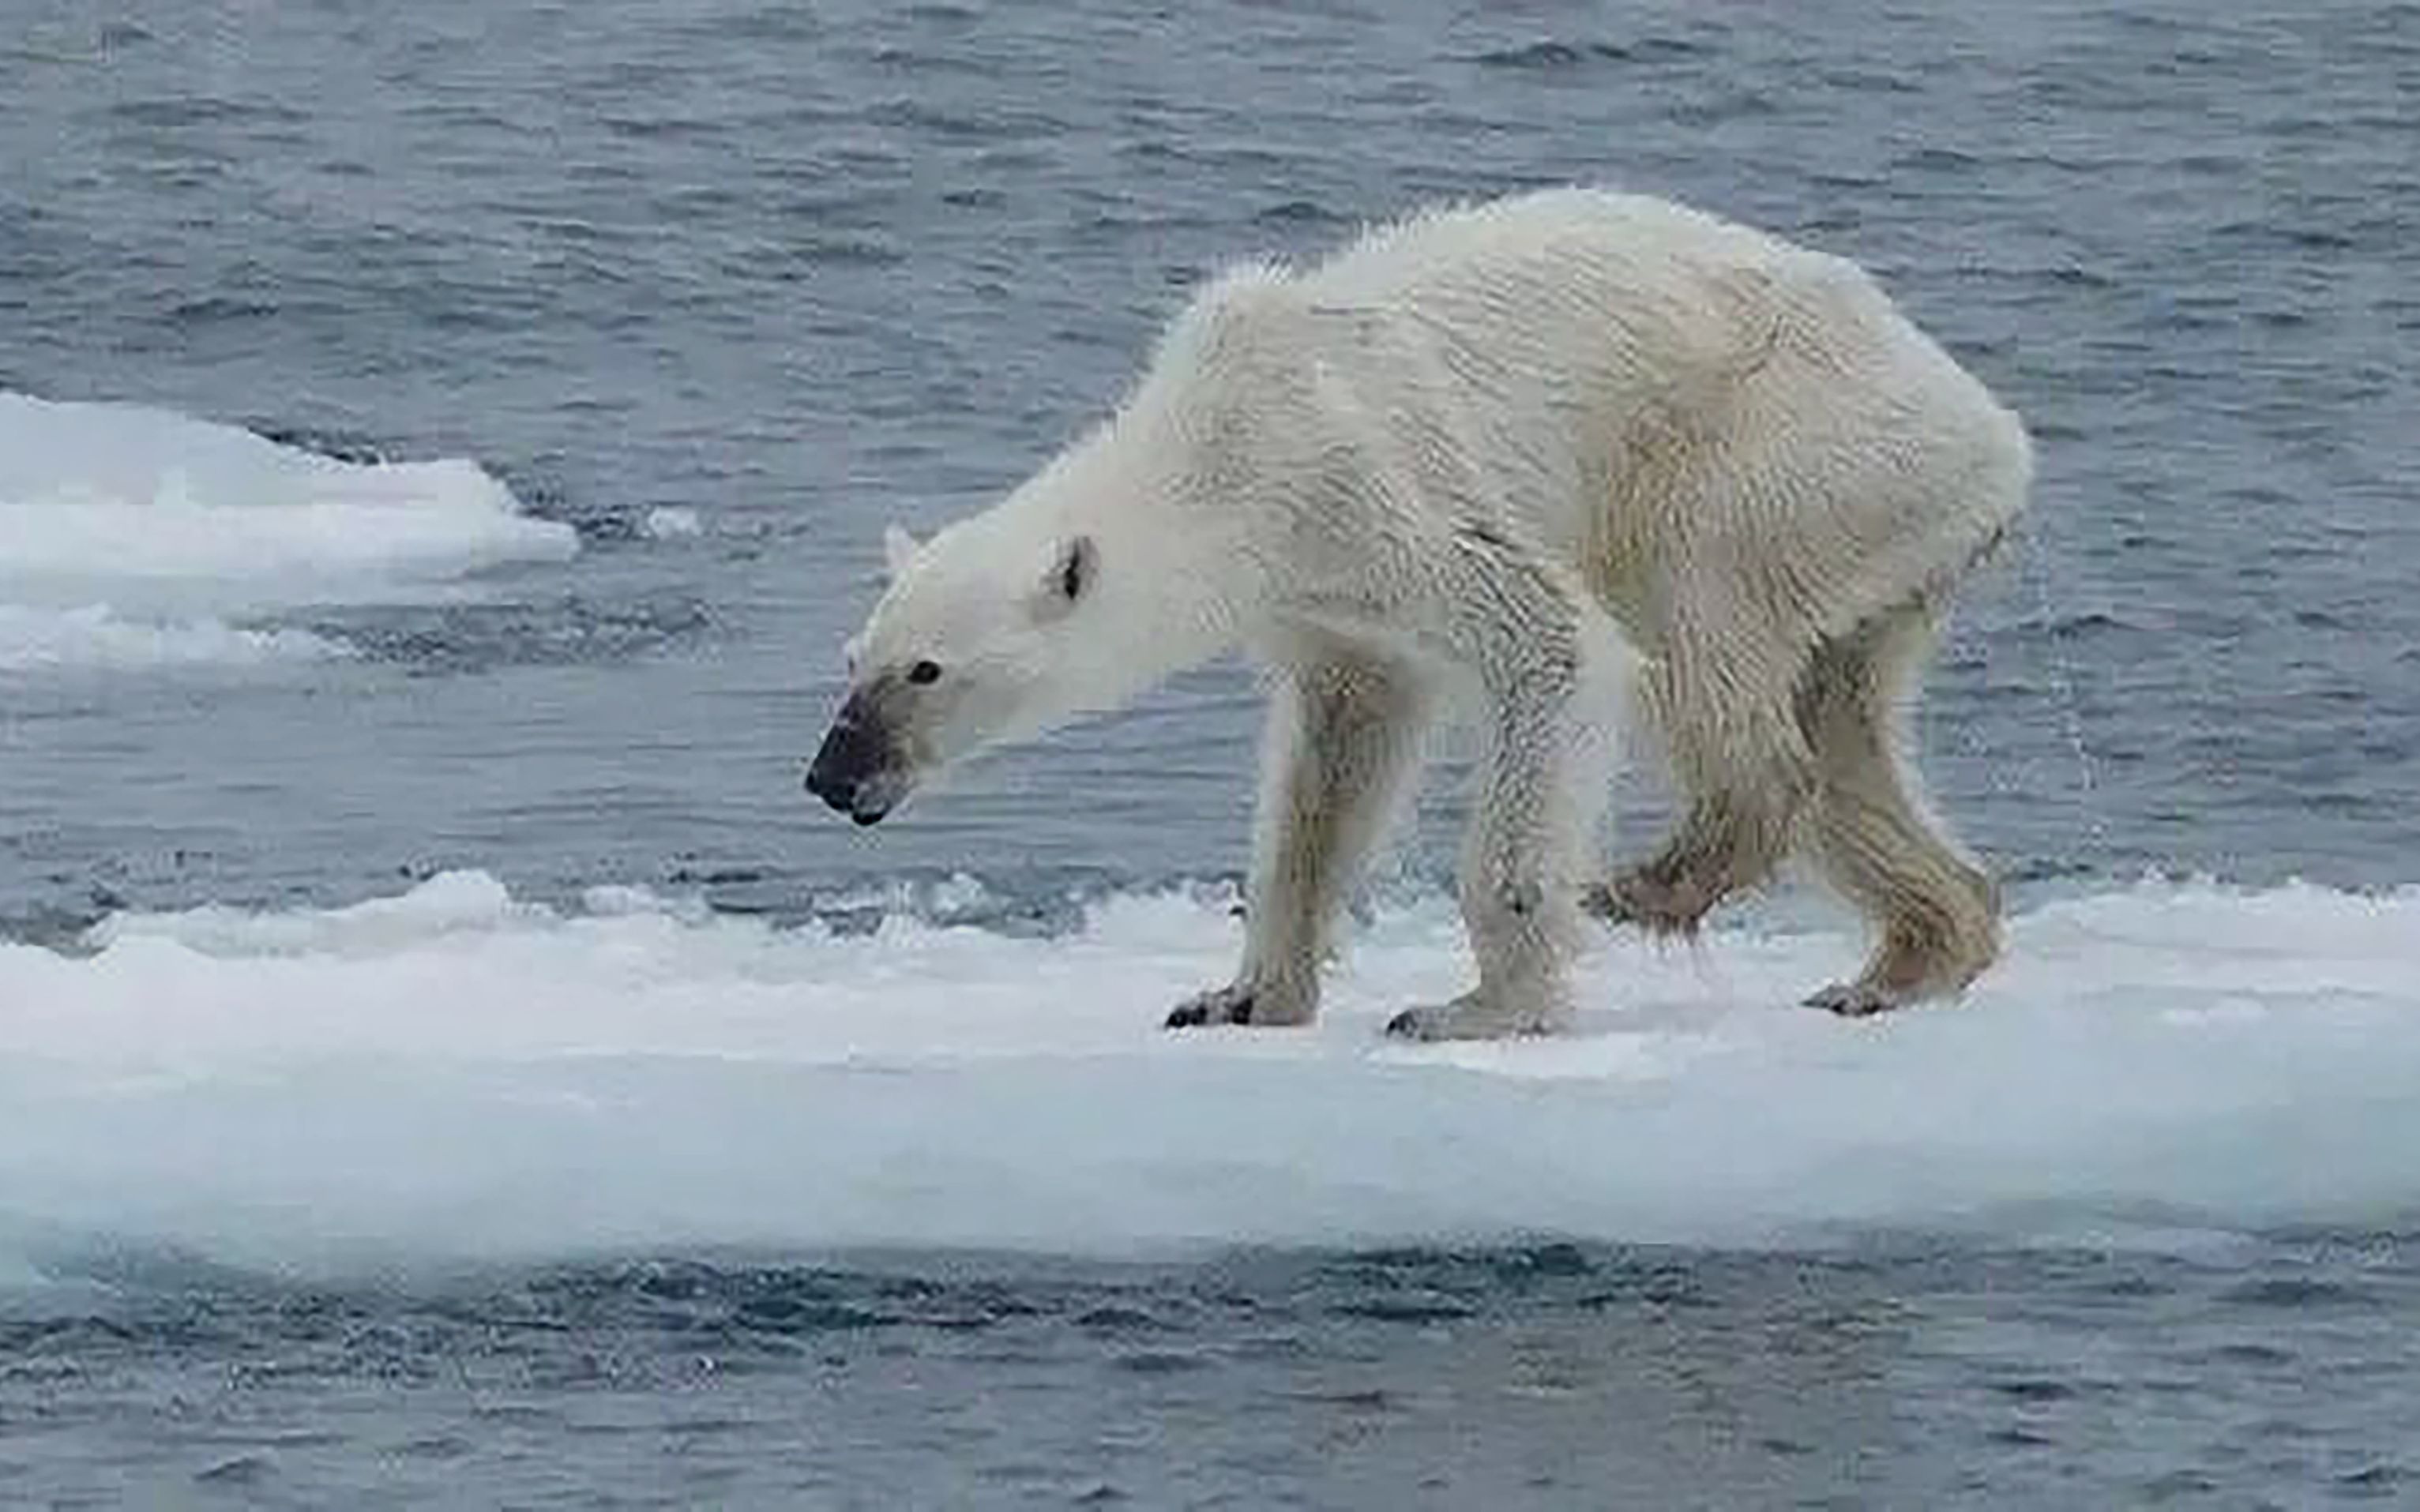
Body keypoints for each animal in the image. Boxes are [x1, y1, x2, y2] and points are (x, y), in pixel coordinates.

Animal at [808, 188, 2023, 1035]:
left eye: (925, 670)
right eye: (854, 655)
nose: (831, 775)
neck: (1222, 447)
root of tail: (1995, 433)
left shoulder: (1372, 485)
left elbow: (1553, 642)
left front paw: (1472, 1006)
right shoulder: (1320, 598)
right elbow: (1334, 760)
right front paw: (1236, 995)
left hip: (1782, 455)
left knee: (1697, 624)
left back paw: (1657, 878)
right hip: (1876, 540)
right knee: (1844, 726)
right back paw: (1906, 957)